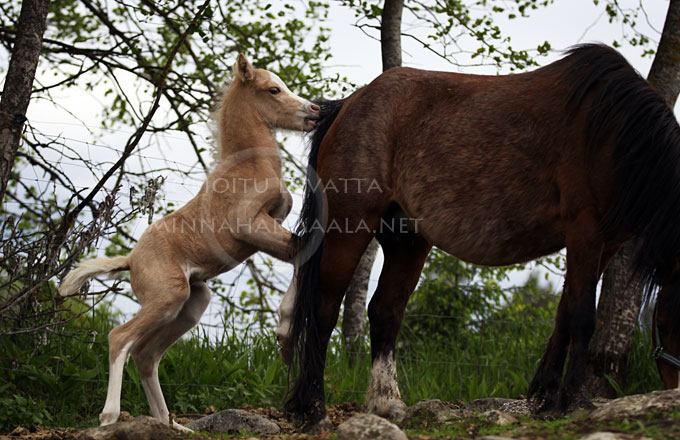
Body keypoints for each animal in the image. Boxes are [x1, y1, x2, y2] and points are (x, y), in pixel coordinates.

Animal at [57, 55, 318, 430]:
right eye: (273, 89)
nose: (314, 110)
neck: (251, 165)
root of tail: (131, 260)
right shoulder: (250, 226)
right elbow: (302, 252)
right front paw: (284, 332)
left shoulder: (269, 227)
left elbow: (300, 254)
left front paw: (286, 336)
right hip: (168, 295)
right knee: (120, 338)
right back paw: (109, 417)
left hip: (190, 303)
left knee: (146, 354)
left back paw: (171, 424)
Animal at [278, 44, 680, 430]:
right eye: (665, 323)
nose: (674, 389)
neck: (614, 133)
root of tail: (347, 105)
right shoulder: (585, 233)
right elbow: (582, 316)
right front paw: (573, 402)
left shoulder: (605, 244)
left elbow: (564, 315)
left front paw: (547, 397)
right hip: (350, 227)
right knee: (324, 309)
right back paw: (313, 409)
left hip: (408, 240)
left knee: (385, 311)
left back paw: (387, 403)